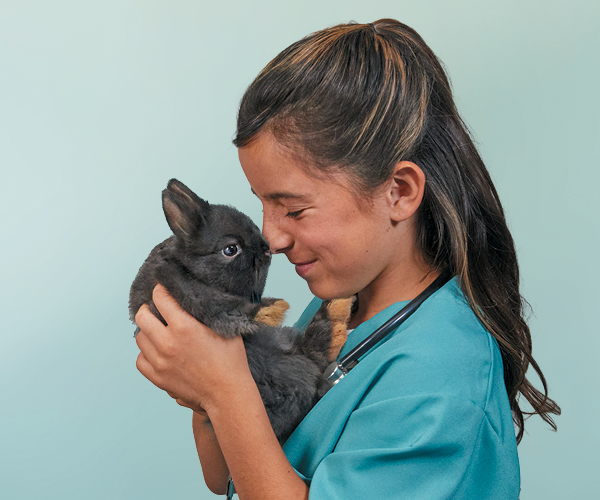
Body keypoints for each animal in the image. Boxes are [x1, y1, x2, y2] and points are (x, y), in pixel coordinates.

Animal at [127, 179, 352, 442]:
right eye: (231, 249)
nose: (266, 249)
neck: (189, 266)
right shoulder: (187, 291)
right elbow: (222, 306)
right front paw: (272, 309)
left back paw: (336, 308)